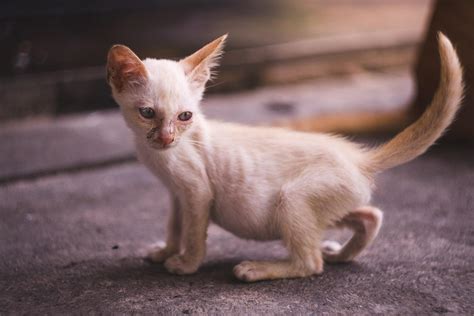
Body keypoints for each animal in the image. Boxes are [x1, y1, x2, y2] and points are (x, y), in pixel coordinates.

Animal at [104, 33, 462, 282]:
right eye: (147, 113)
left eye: (184, 116)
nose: (166, 138)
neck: (161, 155)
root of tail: (358, 158)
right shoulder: (177, 195)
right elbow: (175, 226)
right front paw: (165, 250)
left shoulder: (196, 192)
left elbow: (193, 234)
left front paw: (186, 263)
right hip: (325, 205)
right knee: (370, 215)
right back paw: (341, 254)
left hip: (291, 199)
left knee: (311, 263)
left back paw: (256, 269)